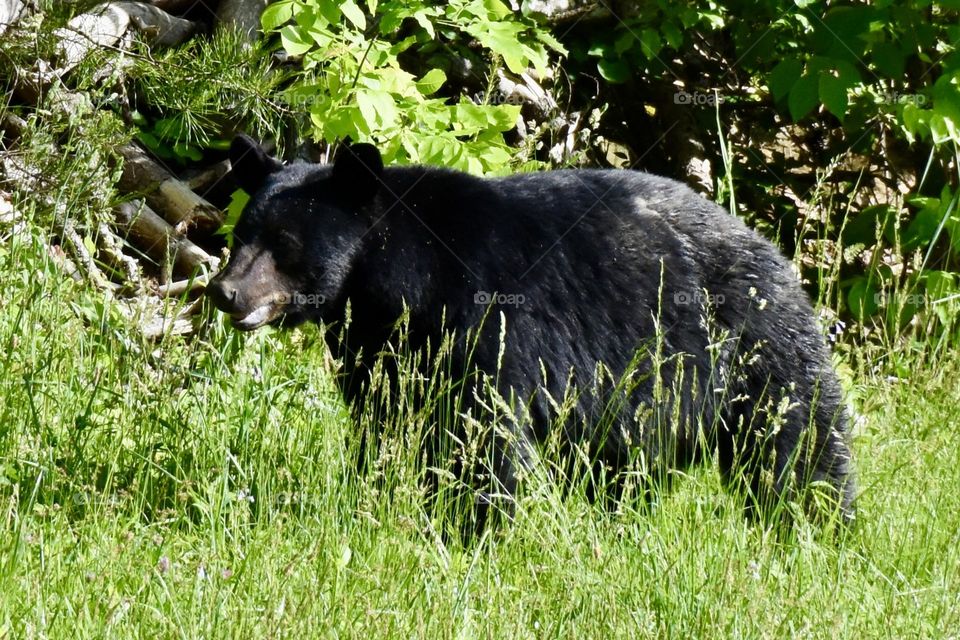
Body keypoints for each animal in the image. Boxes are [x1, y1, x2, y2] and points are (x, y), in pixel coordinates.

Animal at [208, 135, 856, 524]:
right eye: (243, 233)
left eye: (285, 243)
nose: (225, 291)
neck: (396, 281)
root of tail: (770, 248)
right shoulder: (376, 345)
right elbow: (386, 416)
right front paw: (379, 491)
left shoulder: (485, 320)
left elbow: (480, 425)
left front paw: (468, 521)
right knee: (626, 463)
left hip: (749, 338)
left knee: (797, 438)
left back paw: (816, 523)